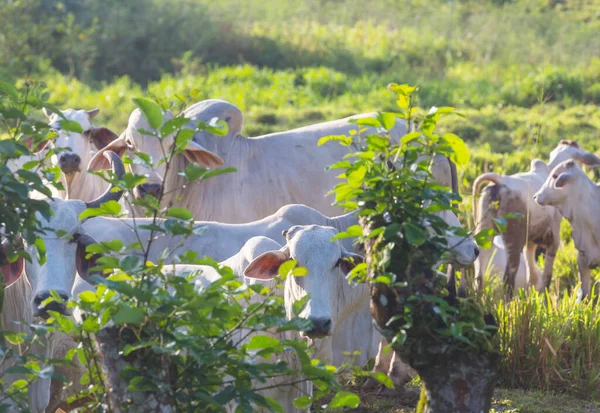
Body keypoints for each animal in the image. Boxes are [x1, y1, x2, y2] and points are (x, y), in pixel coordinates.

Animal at [472, 140, 600, 294]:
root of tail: (500, 180)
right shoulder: (553, 240)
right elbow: (546, 277)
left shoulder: (531, 242)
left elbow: (532, 278)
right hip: (513, 239)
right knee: (508, 278)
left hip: (484, 232)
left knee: (479, 276)